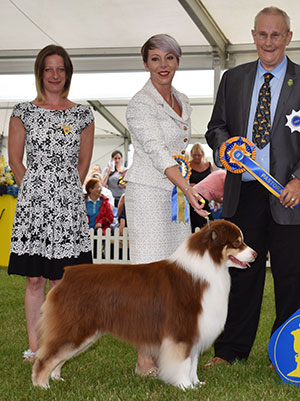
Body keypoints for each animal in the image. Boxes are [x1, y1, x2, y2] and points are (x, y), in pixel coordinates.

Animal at [32, 220, 255, 390]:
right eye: (237, 242)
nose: (256, 254)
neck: (210, 266)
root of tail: (67, 275)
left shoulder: (195, 330)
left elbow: (192, 362)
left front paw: (196, 384)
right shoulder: (182, 331)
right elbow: (183, 363)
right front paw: (184, 386)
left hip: (83, 332)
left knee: (58, 355)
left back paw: (57, 379)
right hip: (76, 327)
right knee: (46, 357)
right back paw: (42, 386)